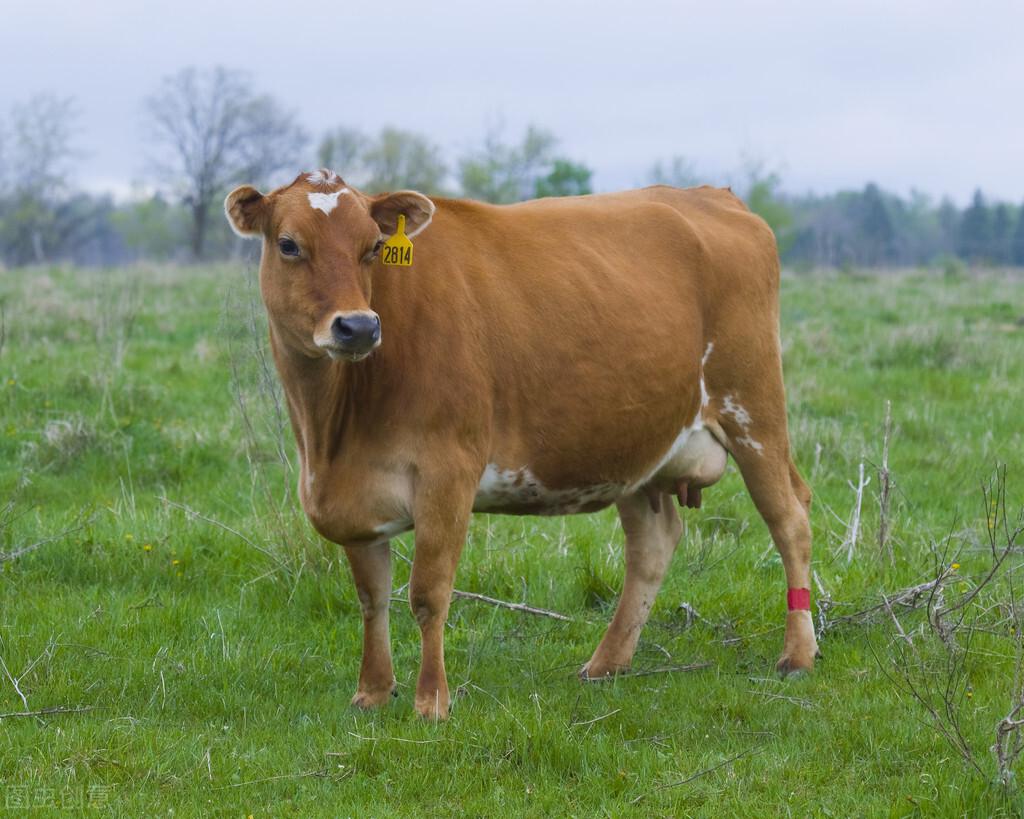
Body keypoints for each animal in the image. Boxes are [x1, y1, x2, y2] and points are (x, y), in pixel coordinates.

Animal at [224, 170, 815, 716]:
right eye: (288, 244)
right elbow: (372, 598)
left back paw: (798, 654)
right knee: (654, 543)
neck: (331, 433)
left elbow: (428, 593)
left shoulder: (448, 472)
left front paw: (431, 701)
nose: (358, 327)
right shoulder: (355, 495)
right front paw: (371, 691)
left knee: (790, 520)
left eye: (372, 247)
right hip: (638, 445)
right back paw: (608, 662)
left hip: (755, 408)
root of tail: (710, 194)